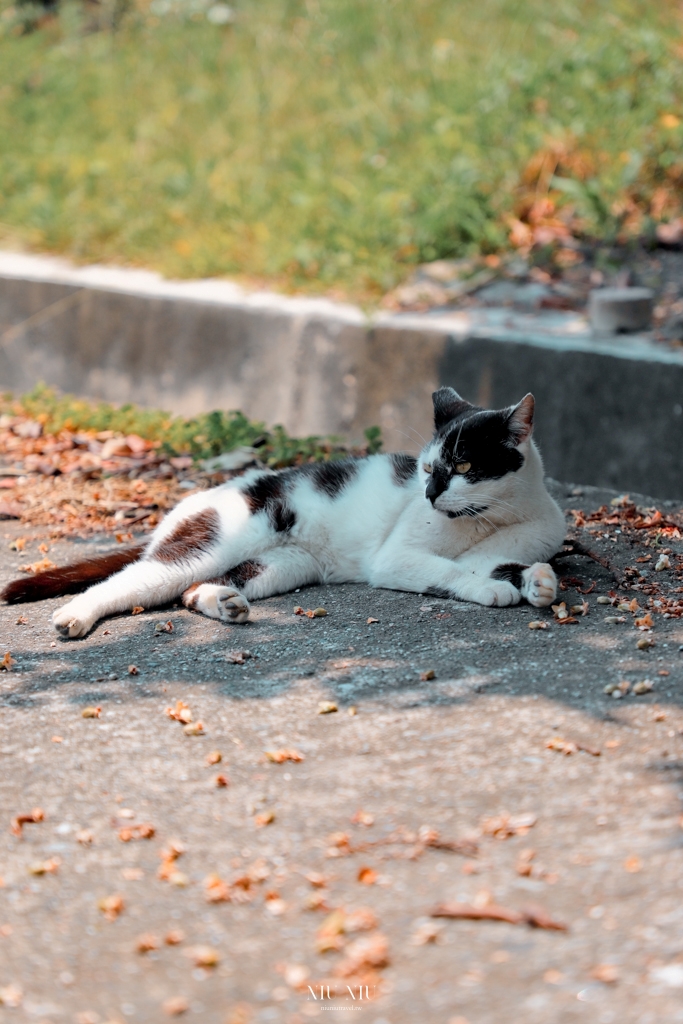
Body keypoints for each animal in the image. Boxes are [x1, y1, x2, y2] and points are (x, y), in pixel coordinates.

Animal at [1, 387, 565, 634]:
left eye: (464, 465)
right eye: (428, 469)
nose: (428, 495)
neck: (492, 518)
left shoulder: (512, 540)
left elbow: (504, 563)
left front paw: (537, 581)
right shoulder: (397, 559)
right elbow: (449, 572)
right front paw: (492, 589)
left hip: (284, 566)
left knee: (191, 589)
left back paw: (224, 605)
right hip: (211, 542)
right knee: (131, 580)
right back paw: (73, 617)